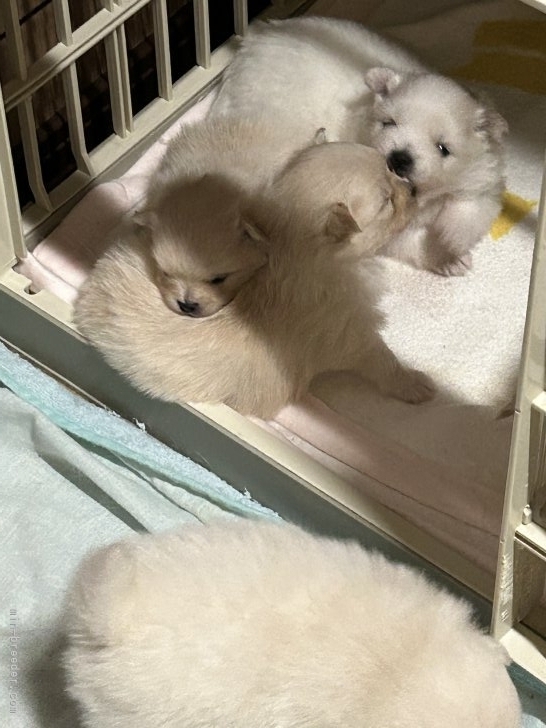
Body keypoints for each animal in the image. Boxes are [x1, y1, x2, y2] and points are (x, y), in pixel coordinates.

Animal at [75, 118, 435, 418]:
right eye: (387, 201)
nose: (414, 190)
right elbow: (382, 361)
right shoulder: (351, 333)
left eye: (390, 169)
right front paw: (415, 384)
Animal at [211, 16, 508, 276]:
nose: (399, 158)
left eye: (443, 148)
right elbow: (406, 238)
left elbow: (469, 213)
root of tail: (254, 41)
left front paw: (448, 241)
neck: (426, 198)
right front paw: (442, 256)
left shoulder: (482, 179)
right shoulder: (386, 223)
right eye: (389, 122)